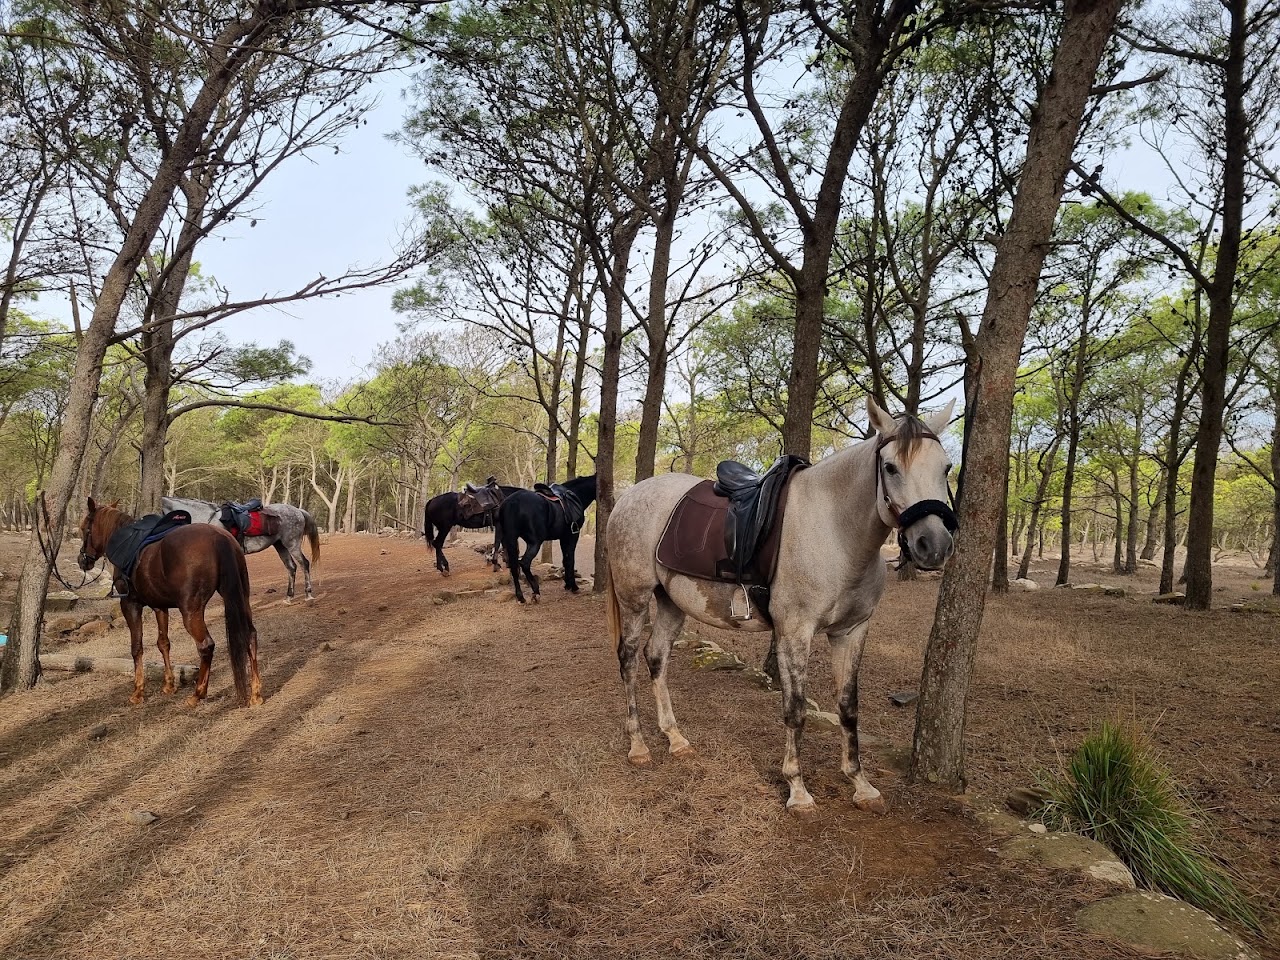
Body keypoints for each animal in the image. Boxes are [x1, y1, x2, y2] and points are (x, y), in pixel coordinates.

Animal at [78, 498, 263, 707]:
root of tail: (219, 538)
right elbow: (163, 643)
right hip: (242, 599)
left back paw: (198, 694)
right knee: (250, 636)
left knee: (206, 646)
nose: (82, 560)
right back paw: (255, 693)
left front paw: (138, 691)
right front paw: (169, 684)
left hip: (191, 612)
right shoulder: (160, 606)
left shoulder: (130, 605)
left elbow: (136, 647)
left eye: (84, 528)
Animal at [163, 496, 320, 603]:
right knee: (291, 567)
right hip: (280, 545)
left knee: (304, 564)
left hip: (292, 544)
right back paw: (289, 597)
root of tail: (298, 511)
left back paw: (308, 594)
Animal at [498, 474, 597, 603]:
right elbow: (570, 560)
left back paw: (520, 596)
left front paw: (567, 584)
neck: (576, 494)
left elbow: (565, 560)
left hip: (510, 540)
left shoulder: (563, 537)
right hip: (535, 542)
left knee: (514, 566)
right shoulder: (572, 535)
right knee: (524, 563)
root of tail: (511, 503)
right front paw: (574, 586)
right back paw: (536, 591)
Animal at [604, 398, 956, 813]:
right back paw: (639, 745)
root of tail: (628, 497)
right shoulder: (795, 632)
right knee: (628, 660)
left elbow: (848, 706)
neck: (835, 531)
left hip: (673, 602)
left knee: (656, 656)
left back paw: (675, 738)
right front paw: (798, 789)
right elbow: (796, 708)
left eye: (946, 467)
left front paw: (860, 783)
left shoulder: (851, 631)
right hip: (635, 599)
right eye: (890, 467)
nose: (933, 545)